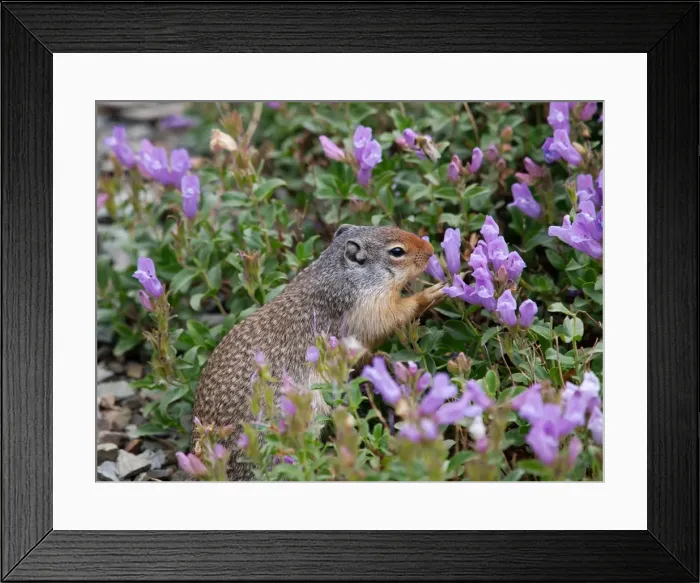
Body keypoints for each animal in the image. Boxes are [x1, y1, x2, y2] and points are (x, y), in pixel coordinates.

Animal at [192, 224, 445, 480]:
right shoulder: (371, 309)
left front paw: (381, 359)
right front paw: (430, 294)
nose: (431, 249)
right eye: (397, 251)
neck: (341, 276)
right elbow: (395, 315)